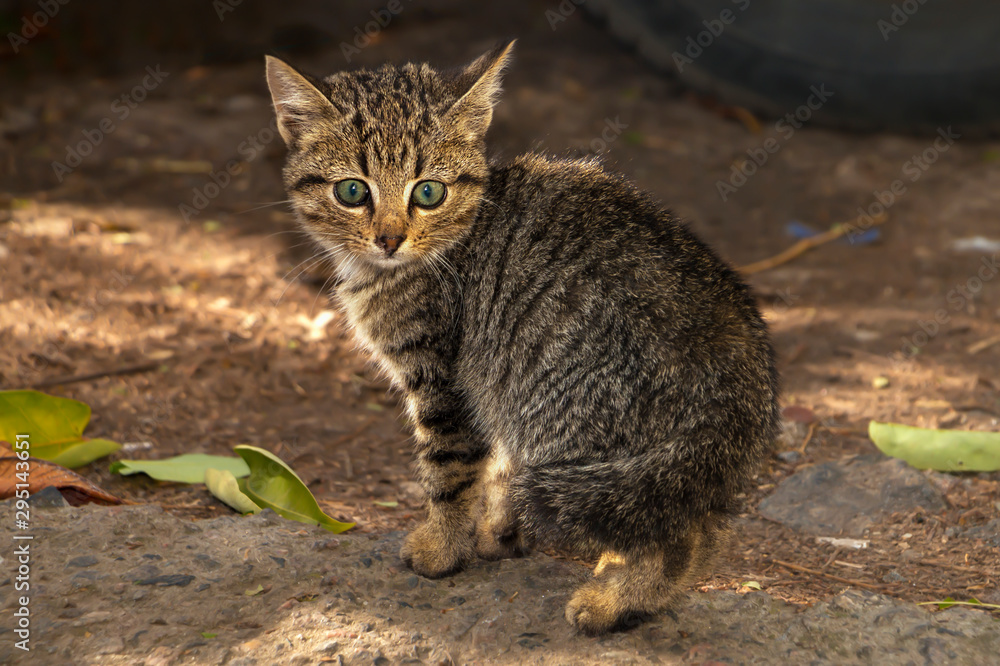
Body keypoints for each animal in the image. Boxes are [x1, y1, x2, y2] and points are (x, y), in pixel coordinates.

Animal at [266, 41, 780, 632]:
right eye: (352, 191)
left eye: (428, 191)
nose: (390, 238)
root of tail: (743, 368)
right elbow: (499, 469)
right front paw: (500, 534)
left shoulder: (445, 380)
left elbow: (449, 472)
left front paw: (441, 548)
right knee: (689, 521)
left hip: (571, 419)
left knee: (676, 536)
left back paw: (615, 601)